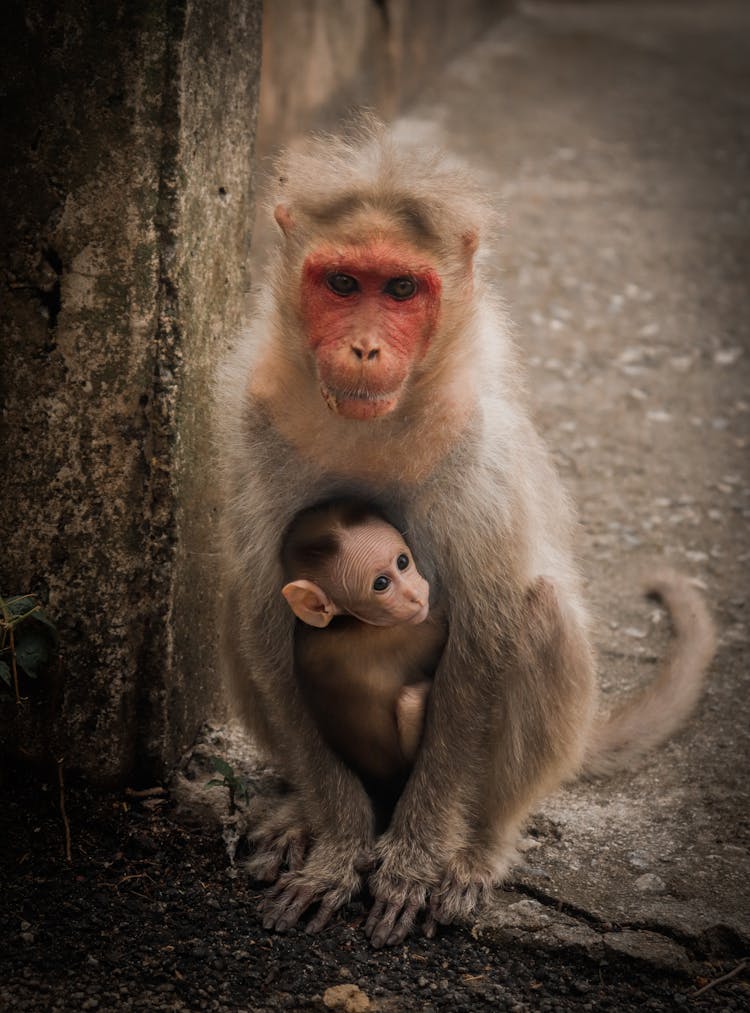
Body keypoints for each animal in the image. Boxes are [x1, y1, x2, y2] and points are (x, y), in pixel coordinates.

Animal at [279, 498, 445, 782]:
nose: (414, 595)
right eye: (381, 583)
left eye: (402, 561)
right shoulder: (398, 634)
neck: (348, 620)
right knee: (410, 700)